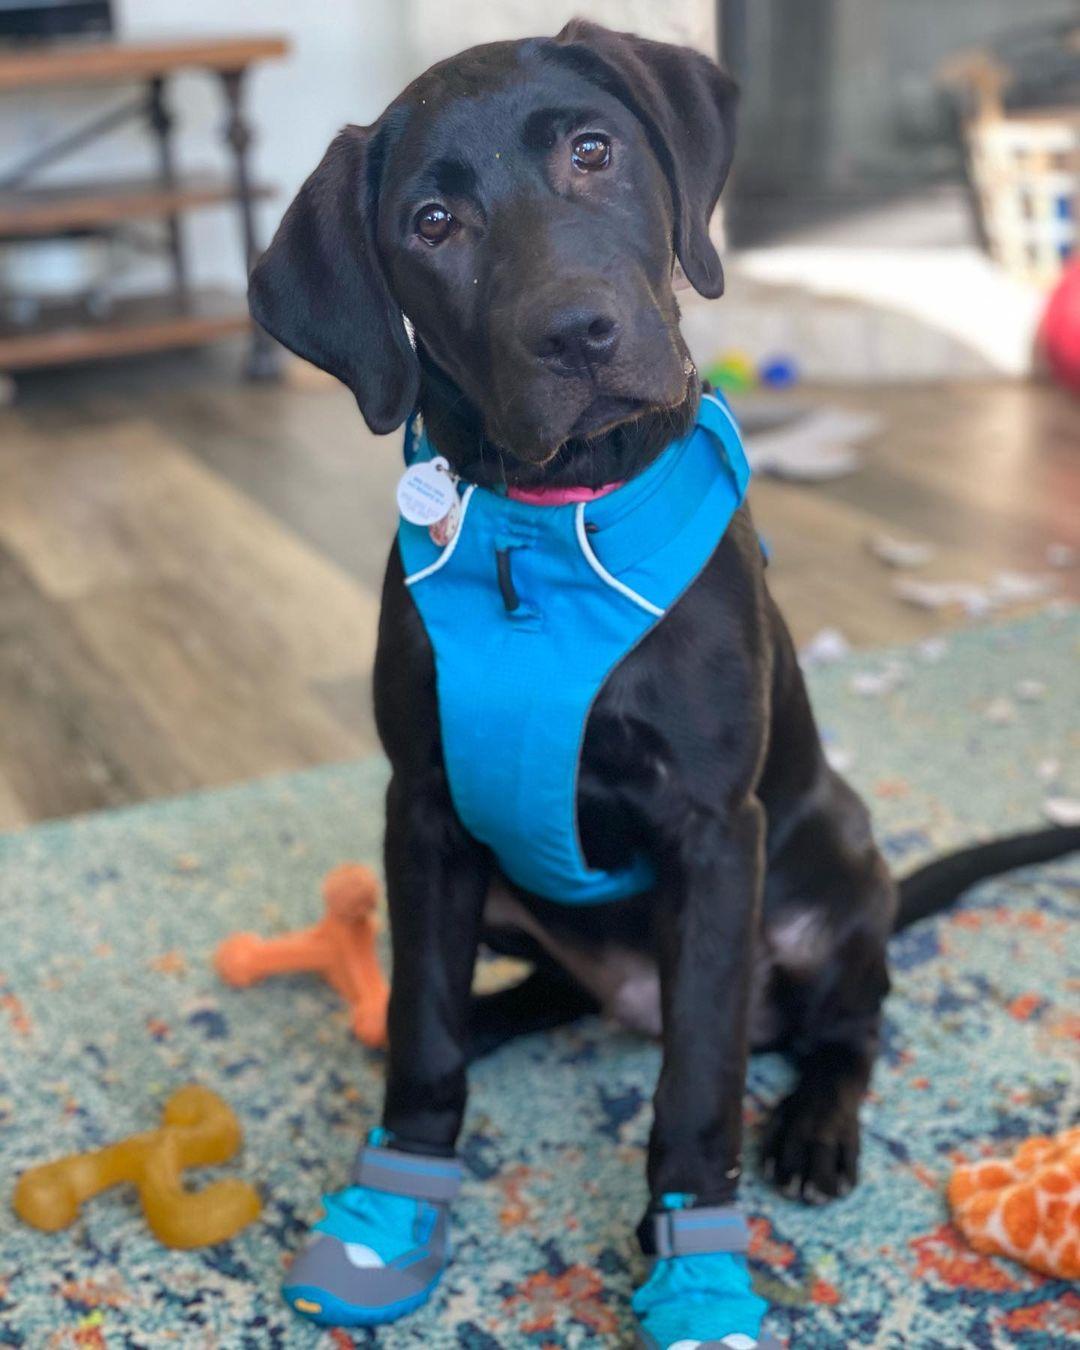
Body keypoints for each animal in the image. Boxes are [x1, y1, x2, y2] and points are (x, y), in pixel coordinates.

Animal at [249, 20, 1079, 1345]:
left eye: (594, 152)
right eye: (432, 223)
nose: (578, 333)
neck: (546, 522)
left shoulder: (711, 831)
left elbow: (700, 1077)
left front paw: (694, 1254)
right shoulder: (422, 812)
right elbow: (425, 1027)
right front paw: (395, 1195)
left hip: (835, 875)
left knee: (846, 1022)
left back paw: (812, 1131)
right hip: (502, 889)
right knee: (534, 994)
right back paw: (478, 1021)